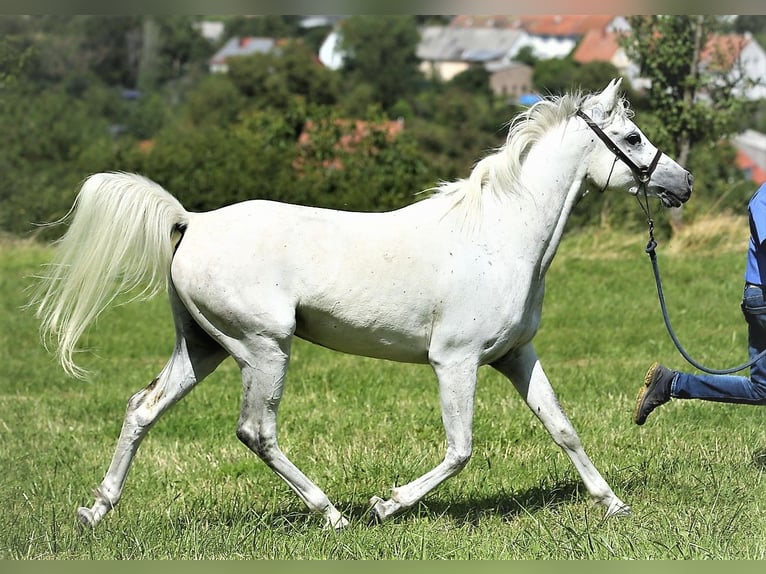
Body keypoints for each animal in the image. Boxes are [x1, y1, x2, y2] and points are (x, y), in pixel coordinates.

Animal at [34, 80, 696, 532]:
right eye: (632, 138)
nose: (682, 183)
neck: (500, 235)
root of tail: (190, 221)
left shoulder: (514, 355)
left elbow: (562, 428)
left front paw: (613, 504)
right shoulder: (455, 362)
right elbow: (460, 449)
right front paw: (387, 504)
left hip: (202, 348)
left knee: (142, 409)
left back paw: (96, 511)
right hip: (263, 349)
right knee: (256, 431)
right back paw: (334, 515)